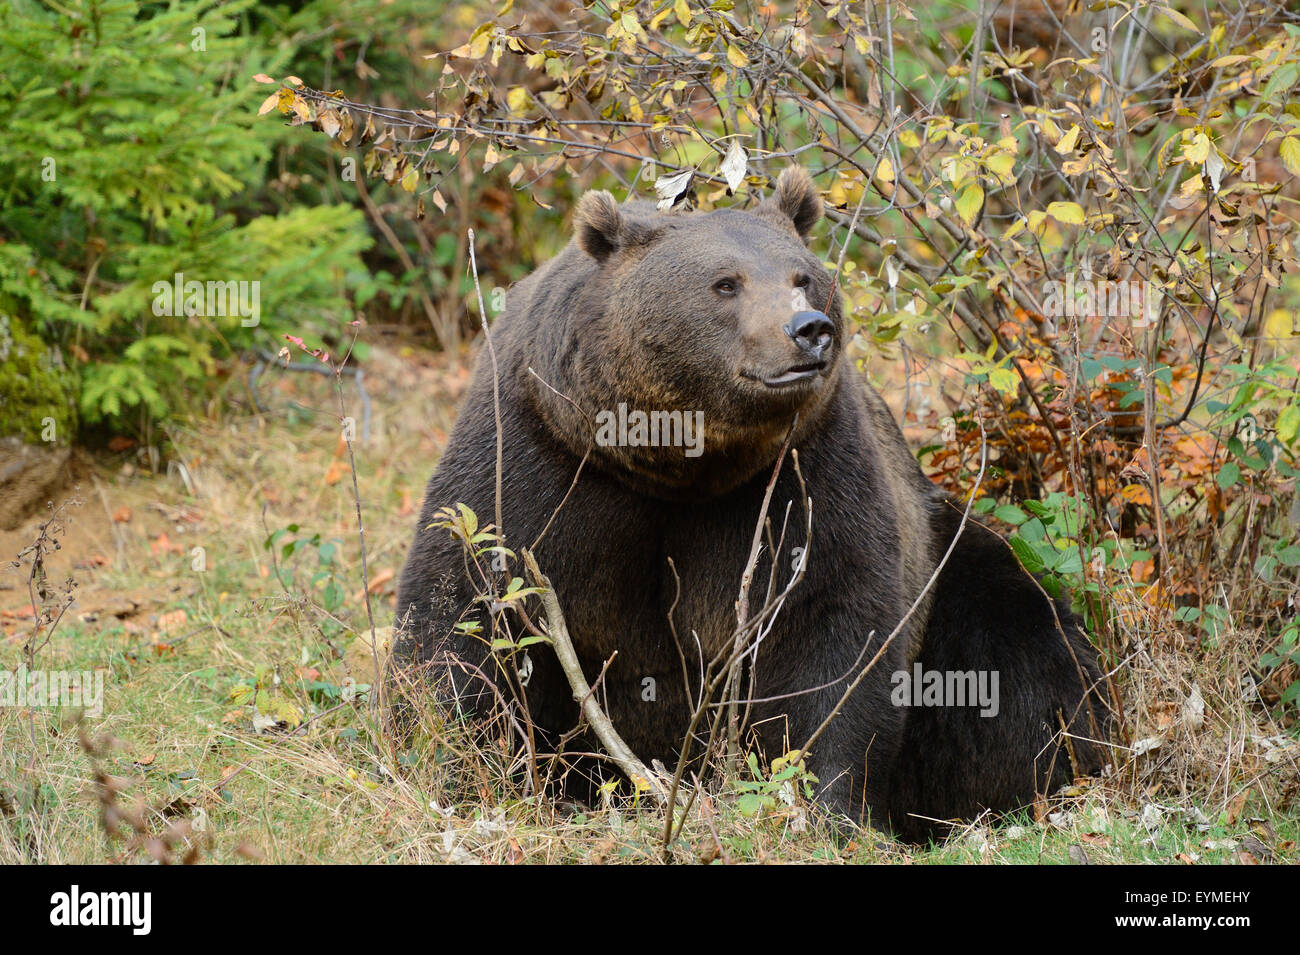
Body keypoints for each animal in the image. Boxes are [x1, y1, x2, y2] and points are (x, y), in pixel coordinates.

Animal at [393, 166, 1111, 841]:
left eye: (803, 277)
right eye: (725, 284)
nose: (809, 330)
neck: (678, 462)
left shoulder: (805, 475)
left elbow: (829, 627)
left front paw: (823, 805)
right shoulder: (539, 456)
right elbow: (464, 608)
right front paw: (455, 771)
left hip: (953, 558)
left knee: (1022, 659)